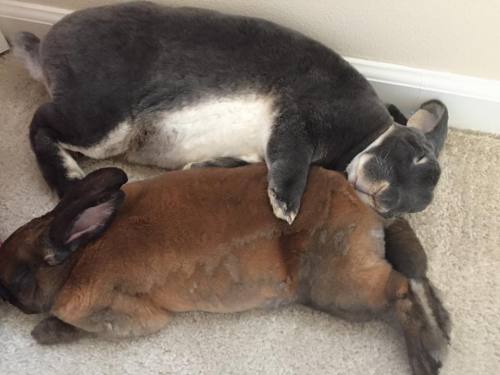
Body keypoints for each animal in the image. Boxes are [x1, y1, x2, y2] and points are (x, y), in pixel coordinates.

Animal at [0, 166, 450, 374]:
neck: (79, 256)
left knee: (400, 288)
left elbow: (75, 324)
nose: (6, 299)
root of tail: (365, 205)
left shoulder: (120, 314)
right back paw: (442, 328)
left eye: (19, 280)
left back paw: (429, 354)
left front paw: (44, 333)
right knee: (415, 280)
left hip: (338, 288)